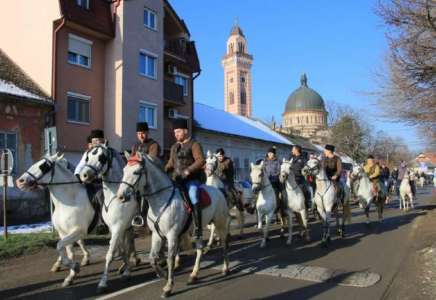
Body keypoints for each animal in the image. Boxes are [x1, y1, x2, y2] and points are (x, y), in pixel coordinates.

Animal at [15, 154, 93, 288]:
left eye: (44, 166)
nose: (20, 181)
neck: (70, 200)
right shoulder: (64, 232)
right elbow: (68, 251)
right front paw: (71, 274)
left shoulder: (79, 231)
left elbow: (60, 246)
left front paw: (74, 267)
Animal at [78, 144, 139, 292]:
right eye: (87, 156)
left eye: (102, 157)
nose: (84, 175)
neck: (115, 196)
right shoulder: (115, 228)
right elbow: (122, 250)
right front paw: (126, 271)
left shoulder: (118, 228)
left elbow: (110, 254)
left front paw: (102, 283)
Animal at [116, 154, 232, 298]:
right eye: (124, 170)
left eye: (136, 172)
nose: (120, 196)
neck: (161, 200)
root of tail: (218, 191)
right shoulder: (157, 235)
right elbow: (152, 258)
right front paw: (164, 275)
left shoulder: (172, 235)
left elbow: (170, 259)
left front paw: (169, 287)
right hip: (198, 230)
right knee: (199, 249)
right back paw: (194, 275)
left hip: (220, 224)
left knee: (224, 244)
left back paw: (225, 268)